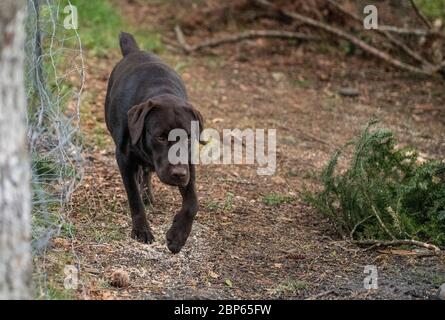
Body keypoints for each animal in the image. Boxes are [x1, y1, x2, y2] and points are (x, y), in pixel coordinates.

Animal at [104, 32, 203, 252]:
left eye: (188, 137)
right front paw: (141, 230)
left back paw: (148, 194)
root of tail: (134, 51)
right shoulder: (124, 158)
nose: (178, 174)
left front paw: (178, 236)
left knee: (147, 171)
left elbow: (192, 202)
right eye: (160, 137)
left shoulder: (188, 161)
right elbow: (133, 197)